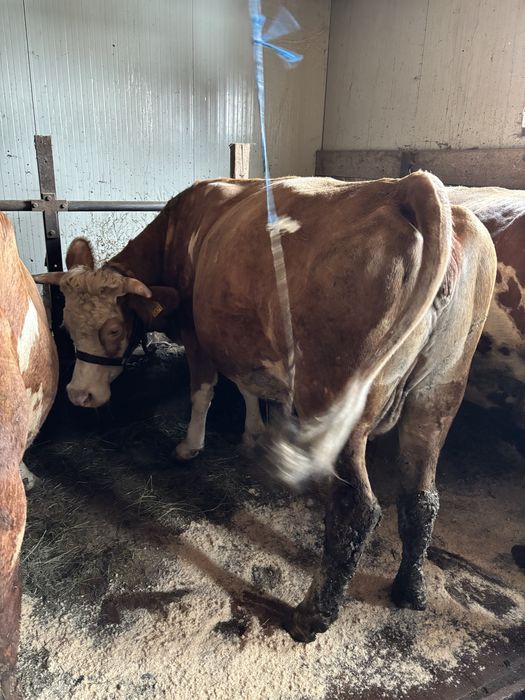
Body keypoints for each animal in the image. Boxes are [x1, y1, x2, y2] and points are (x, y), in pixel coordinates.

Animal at [34, 172, 495, 643]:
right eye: (66, 324)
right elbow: (247, 386)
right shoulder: (240, 339)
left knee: (356, 510)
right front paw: (254, 432)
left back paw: (310, 616)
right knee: (421, 497)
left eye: (113, 328)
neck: (179, 233)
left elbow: (204, 391)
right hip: (439, 393)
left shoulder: (199, 335)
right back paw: (409, 590)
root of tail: (407, 186)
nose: (79, 395)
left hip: (337, 396)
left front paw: (189, 447)